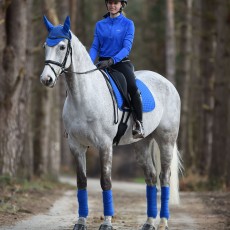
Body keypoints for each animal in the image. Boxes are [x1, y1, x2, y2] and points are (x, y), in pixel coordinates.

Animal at [40, 16, 182, 230]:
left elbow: (105, 182)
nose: (46, 79)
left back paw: (163, 222)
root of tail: (167, 83)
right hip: (141, 143)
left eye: (62, 47)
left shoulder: (104, 145)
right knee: (150, 178)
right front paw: (80, 222)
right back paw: (149, 222)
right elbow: (81, 182)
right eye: (45, 46)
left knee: (164, 178)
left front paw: (107, 223)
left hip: (166, 140)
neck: (83, 96)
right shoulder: (76, 146)